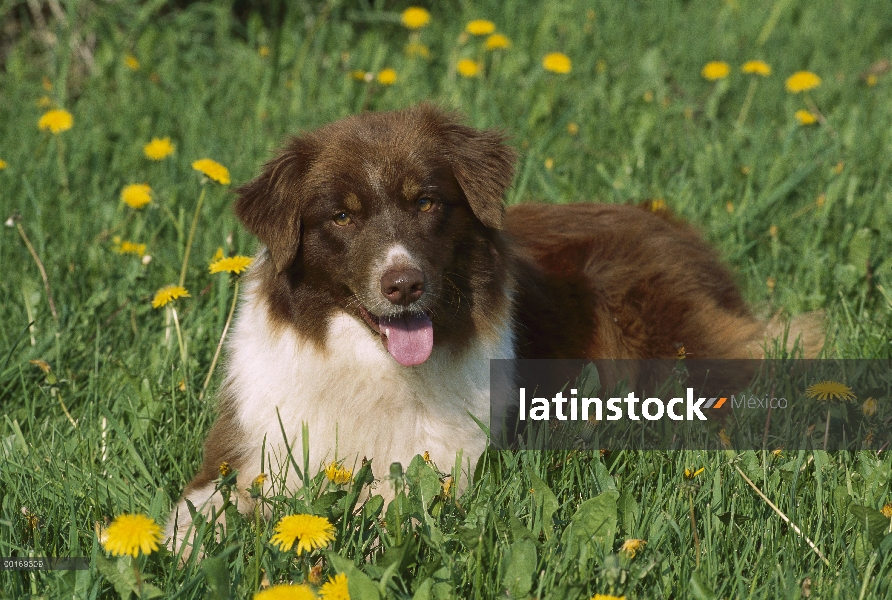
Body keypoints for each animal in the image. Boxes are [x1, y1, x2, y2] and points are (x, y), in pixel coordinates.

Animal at [166, 104, 824, 556]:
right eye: (342, 216)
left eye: (426, 202)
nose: (403, 285)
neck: (370, 368)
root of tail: (672, 225)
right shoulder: (249, 447)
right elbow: (193, 512)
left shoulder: (445, 468)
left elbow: (386, 523)